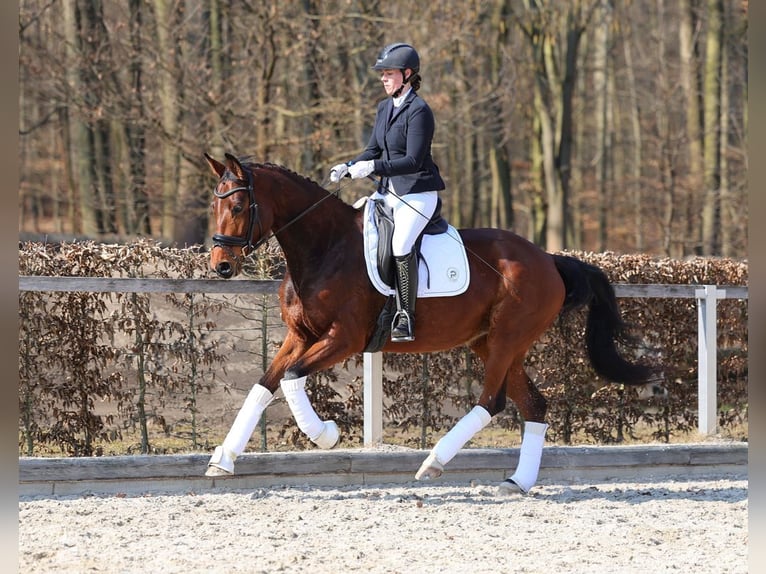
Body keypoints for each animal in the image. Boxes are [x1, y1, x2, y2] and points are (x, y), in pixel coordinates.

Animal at [203, 152, 657, 494]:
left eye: (238, 207)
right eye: (214, 206)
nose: (221, 266)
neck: (324, 248)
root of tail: (548, 259)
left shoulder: (344, 339)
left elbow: (292, 378)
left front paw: (326, 434)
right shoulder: (300, 336)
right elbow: (264, 385)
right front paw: (222, 460)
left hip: (507, 338)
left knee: (491, 402)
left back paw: (434, 462)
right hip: (492, 343)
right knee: (533, 404)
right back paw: (516, 482)